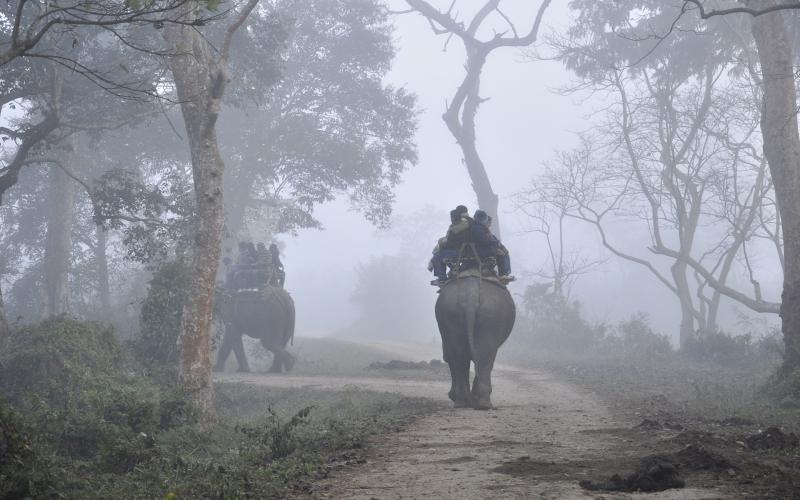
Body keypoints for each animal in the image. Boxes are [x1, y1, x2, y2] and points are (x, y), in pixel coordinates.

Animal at [434, 274, 516, 410]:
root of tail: (471, 295)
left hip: (454, 314)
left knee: (462, 356)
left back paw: (467, 402)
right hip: (490, 316)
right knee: (482, 357)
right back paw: (480, 403)